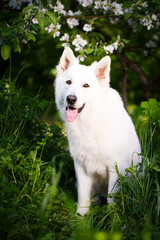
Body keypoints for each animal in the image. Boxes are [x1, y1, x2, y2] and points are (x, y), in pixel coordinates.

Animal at [55, 47, 141, 216]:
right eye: (68, 82)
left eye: (86, 85)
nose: (71, 99)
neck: (90, 120)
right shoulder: (81, 167)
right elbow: (82, 197)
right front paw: (80, 218)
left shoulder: (115, 167)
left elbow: (112, 198)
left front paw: (111, 217)